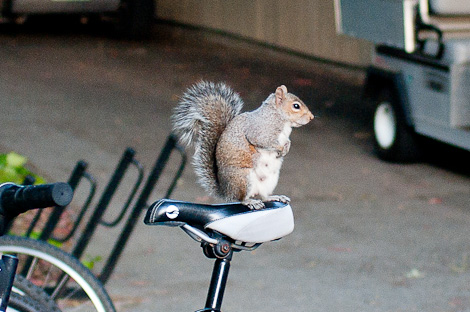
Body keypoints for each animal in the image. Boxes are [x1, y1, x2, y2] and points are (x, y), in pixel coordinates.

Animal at [171, 81, 314, 210]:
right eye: (296, 106)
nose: (312, 117)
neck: (278, 117)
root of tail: (226, 192)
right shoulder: (259, 130)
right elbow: (263, 141)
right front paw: (280, 148)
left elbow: (287, 141)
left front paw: (286, 147)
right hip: (243, 178)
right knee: (241, 198)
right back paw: (250, 202)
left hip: (270, 180)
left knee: (263, 196)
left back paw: (273, 197)